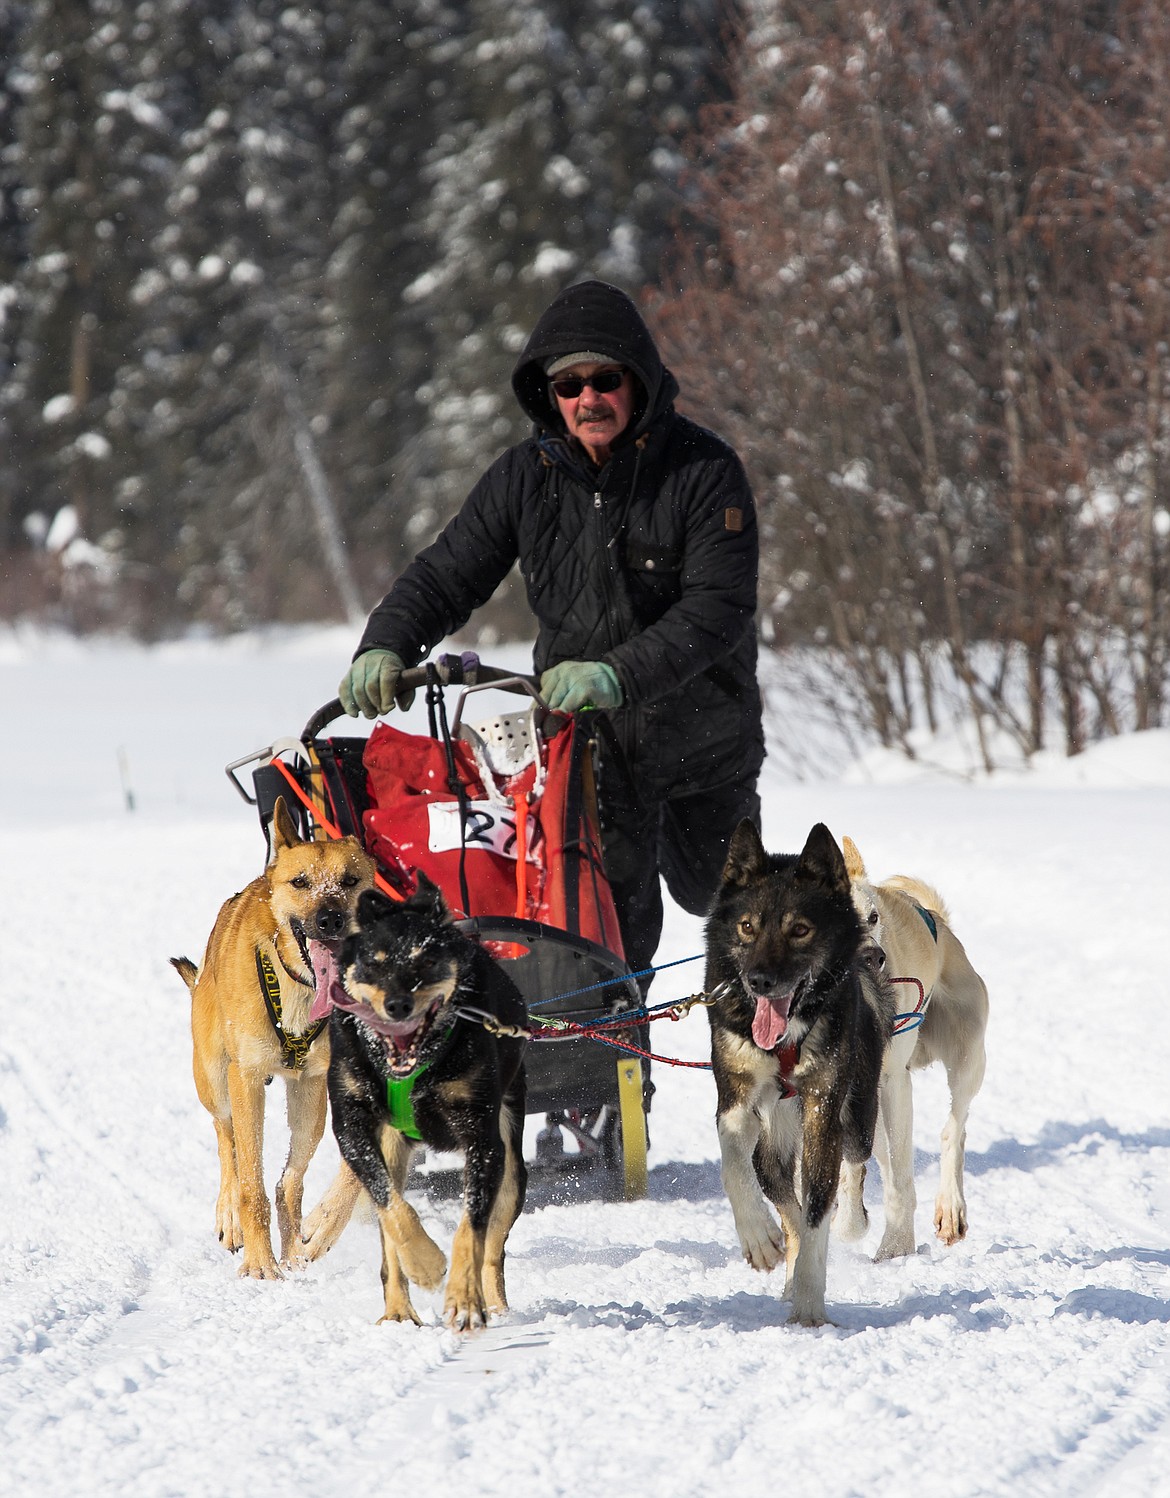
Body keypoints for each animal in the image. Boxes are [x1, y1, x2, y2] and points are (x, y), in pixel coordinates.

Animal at [168, 802, 374, 1282]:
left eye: (350, 880)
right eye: (300, 882)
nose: (330, 918)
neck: (297, 989)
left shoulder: (315, 1082)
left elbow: (288, 1182)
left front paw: (297, 1248)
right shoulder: (246, 1076)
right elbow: (251, 1183)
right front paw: (261, 1263)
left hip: (306, 1098)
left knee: (283, 1176)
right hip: (215, 1080)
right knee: (226, 1140)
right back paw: (230, 1216)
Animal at [310, 880, 530, 1330]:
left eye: (426, 960)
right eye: (373, 964)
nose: (398, 1005)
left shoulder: (483, 1140)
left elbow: (471, 1228)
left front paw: (464, 1298)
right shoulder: (352, 1127)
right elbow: (392, 1207)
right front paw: (426, 1264)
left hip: (512, 1166)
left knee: (493, 1245)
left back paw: (493, 1303)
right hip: (392, 1148)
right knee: (391, 1228)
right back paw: (398, 1308)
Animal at [704, 820, 892, 1324]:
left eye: (801, 930)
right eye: (747, 926)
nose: (759, 981)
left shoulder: (824, 1110)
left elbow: (817, 1212)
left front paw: (810, 1306)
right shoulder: (735, 1102)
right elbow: (733, 1167)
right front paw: (757, 1236)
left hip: (855, 1116)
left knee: (849, 1168)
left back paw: (848, 1224)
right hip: (770, 1152)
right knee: (785, 1204)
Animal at [832, 838, 988, 1258]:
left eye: (872, 918)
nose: (874, 958)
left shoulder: (889, 1080)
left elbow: (897, 1174)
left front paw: (895, 1248)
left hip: (967, 1057)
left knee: (953, 1130)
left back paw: (948, 1210)